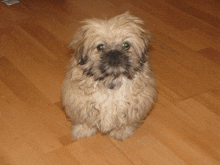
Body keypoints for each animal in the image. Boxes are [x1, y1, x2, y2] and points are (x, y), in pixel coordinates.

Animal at [62, 11, 157, 141]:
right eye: (100, 47)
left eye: (126, 45)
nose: (114, 53)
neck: (111, 79)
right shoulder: (78, 102)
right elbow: (85, 119)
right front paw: (83, 130)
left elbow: (124, 120)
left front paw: (121, 131)